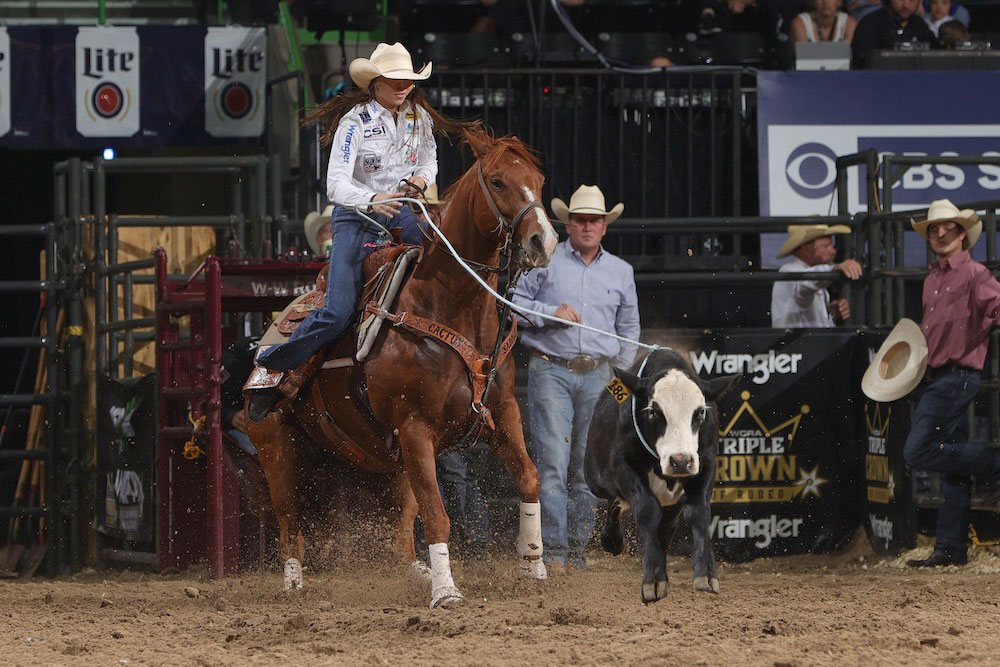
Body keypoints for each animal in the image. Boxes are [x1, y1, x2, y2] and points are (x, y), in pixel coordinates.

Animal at [246, 128, 560, 608]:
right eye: (498, 181)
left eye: (539, 181)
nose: (543, 242)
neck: (449, 307)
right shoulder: (415, 425)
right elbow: (437, 514)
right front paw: (446, 592)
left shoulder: (503, 411)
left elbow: (528, 478)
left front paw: (533, 566)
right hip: (276, 447)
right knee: (289, 522)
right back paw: (295, 583)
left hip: (389, 464)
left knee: (397, 534)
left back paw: (417, 572)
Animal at [584, 350, 740, 604]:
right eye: (654, 412)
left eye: (700, 412)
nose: (680, 461)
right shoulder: (621, 464)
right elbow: (647, 509)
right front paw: (652, 582)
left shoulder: (704, 463)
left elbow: (698, 513)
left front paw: (706, 576)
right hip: (596, 480)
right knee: (615, 502)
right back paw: (612, 541)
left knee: (663, 530)